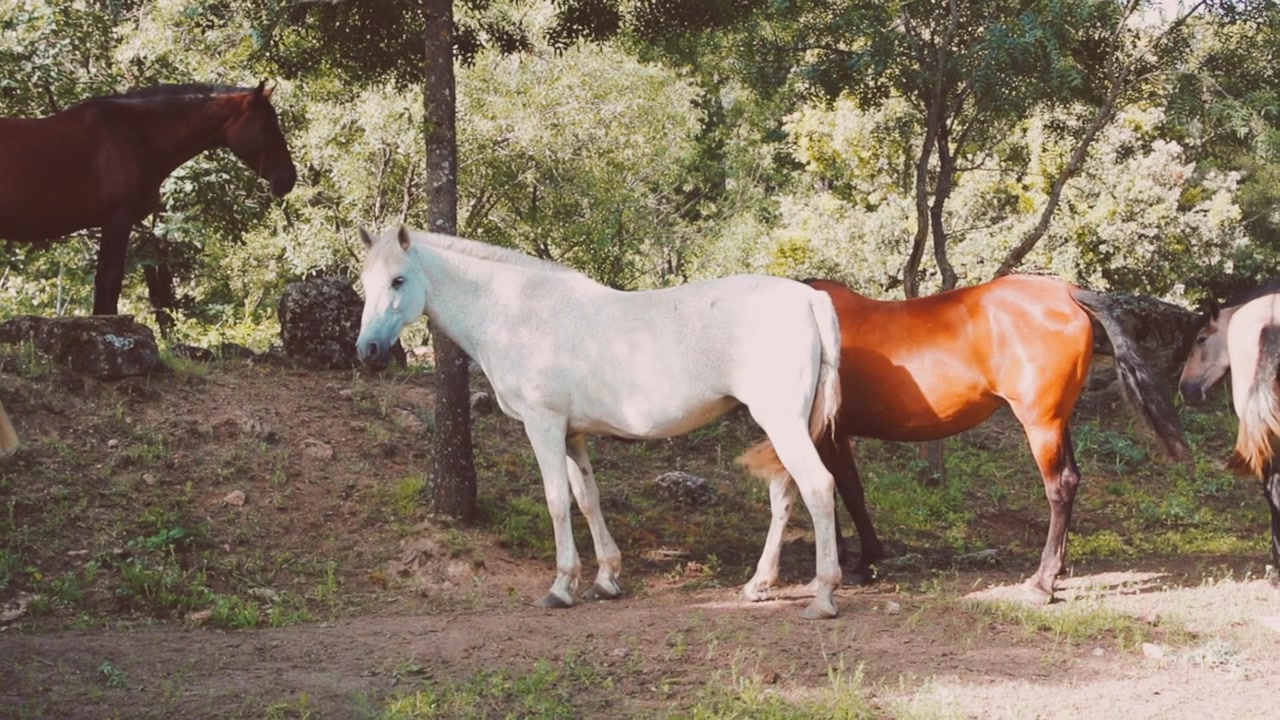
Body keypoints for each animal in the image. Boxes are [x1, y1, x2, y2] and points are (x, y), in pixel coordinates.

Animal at [356, 226, 845, 619]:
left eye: (398, 280)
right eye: (365, 282)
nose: (368, 350)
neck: (514, 312)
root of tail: (810, 296)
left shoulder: (544, 426)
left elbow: (557, 501)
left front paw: (560, 588)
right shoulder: (573, 435)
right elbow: (587, 499)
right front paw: (605, 579)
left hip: (781, 423)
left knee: (818, 487)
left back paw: (823, 597)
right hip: (782, 427)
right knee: (785, 494)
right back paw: (759, 585)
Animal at [738, 275, 1189, 604]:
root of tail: (1066, 292)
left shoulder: (829, 432)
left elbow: (844, 489)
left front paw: (862, 560)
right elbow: (845, 490)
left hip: (1040, 422)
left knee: (1060, 486)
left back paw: (1042, 582)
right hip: (1058, 421)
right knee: (1073, 480)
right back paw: (1056, 570)